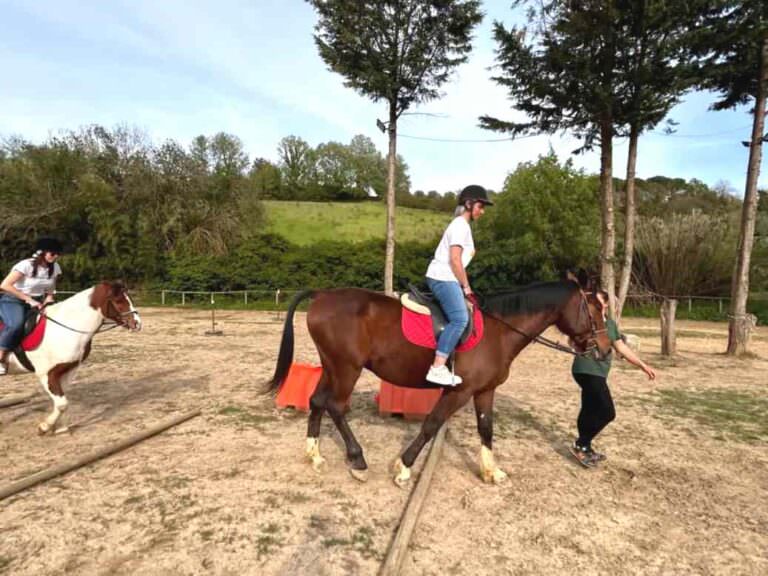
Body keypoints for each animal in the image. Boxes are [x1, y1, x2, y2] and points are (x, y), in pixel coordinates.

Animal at [2, 281, 141, 434]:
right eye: (118, 301)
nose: (137, 324)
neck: (65, 328)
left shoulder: (67, 371)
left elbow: (62, 402)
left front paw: (61, 428)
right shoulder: (46, 374)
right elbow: (62, 403)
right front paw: (45, 427)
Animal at [266, 275, 611, 486]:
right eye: (595, 309)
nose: (606, 350)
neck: (500, 329)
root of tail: (322, 294)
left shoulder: (484, 391)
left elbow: (486, 428)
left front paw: (492, 471)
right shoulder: (460, 391)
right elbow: (431, 424)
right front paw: (404, 468)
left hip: (331, 366)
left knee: (317, 401)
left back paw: (315, 454)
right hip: (347, 369)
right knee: (336, 406)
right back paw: (358, 460)